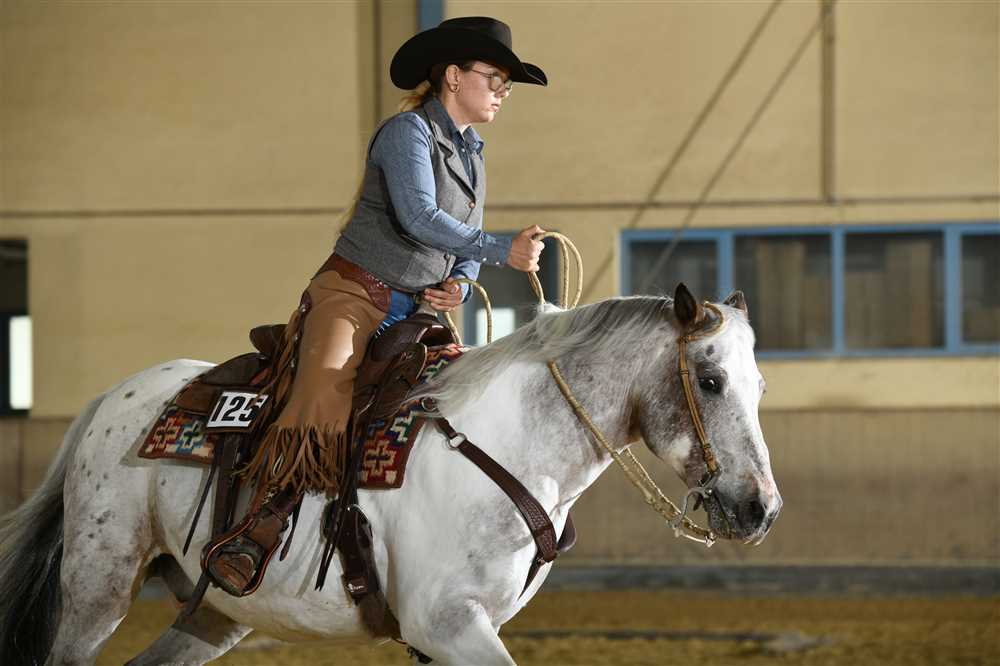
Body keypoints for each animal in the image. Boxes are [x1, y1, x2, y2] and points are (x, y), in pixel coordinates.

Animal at [0, 285, 781, 665]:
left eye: (760, 386)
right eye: (710, 380)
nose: (761, 510)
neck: (509, 447)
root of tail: (114, 396)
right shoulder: (446, 623)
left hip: (212, 612)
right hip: (98, 586)